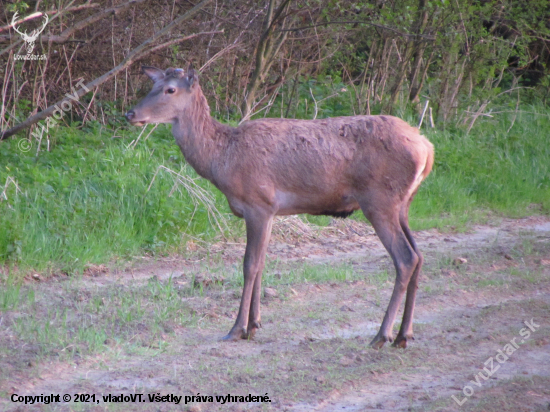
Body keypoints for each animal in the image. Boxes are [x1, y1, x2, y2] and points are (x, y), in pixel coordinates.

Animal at [125, 66, 436, 350]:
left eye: (170, 89)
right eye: (152, 84)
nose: (131, 113)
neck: (222, 161)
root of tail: (427, 148)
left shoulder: (257, 203)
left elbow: (249, 264)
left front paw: (237, 329)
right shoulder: (271, 211)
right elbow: (262, 262)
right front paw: (254, 324)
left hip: (379, 200)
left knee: (405, 258)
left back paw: (382, 335)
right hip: (402, 205)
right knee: (419, 256)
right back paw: (404, 334)